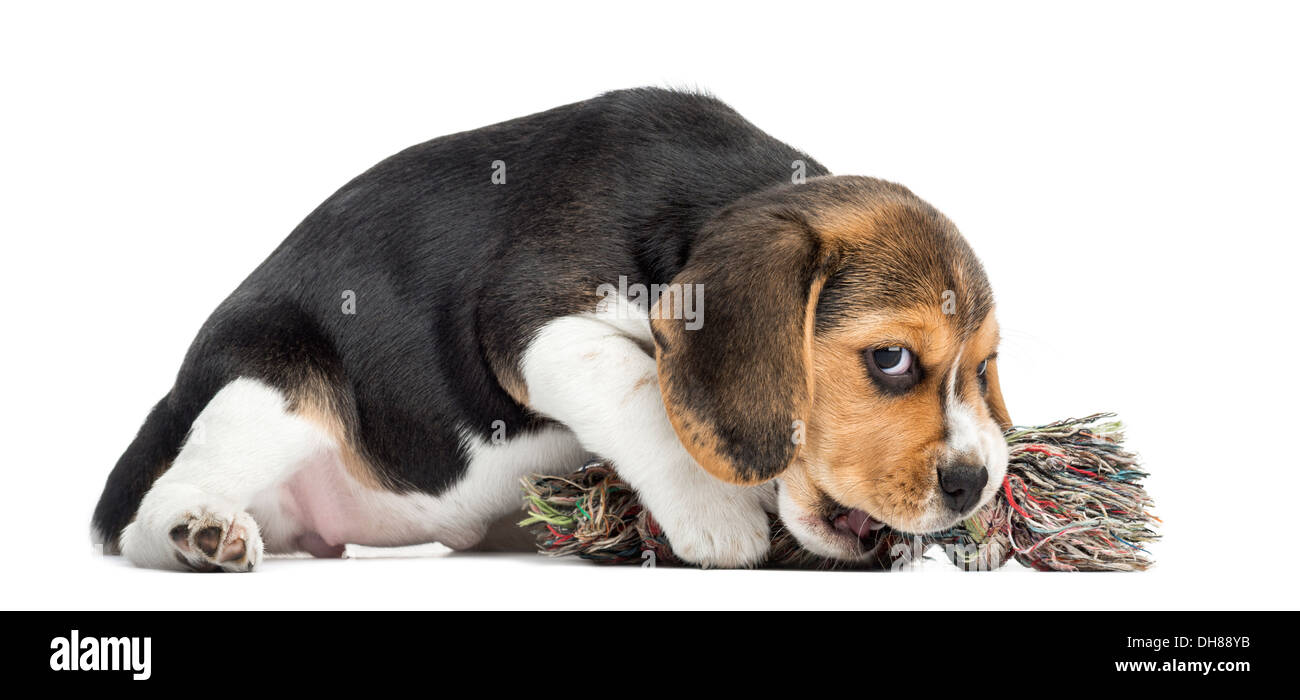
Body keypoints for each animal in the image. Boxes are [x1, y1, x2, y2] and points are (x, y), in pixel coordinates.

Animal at [91, 87, 1008, 567]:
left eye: (984, 368)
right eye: (890, 359)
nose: (976, 483)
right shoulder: (535, 327)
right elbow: (642, 391)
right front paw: (715, 514)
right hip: (273, 385)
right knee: (149, 514)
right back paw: (197, 533)